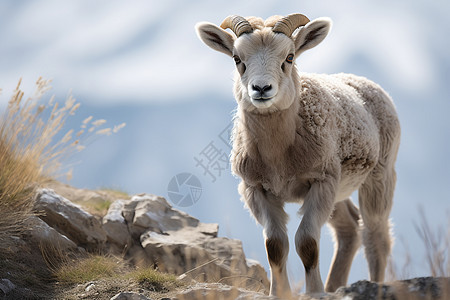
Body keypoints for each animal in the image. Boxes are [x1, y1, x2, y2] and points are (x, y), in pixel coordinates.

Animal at [195, 14, 400, 298]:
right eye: (237, 59)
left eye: (289, 57)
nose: (261, 88)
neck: (278, 157)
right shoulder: (255, 189)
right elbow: (275, 246)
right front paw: (279, 292)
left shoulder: (321, 182)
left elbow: (307, 243)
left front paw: (314, 291)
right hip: (340, 188)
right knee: (349, 228)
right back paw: (334, 285)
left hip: (380, 174)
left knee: (376, 234)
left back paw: (373, 285)